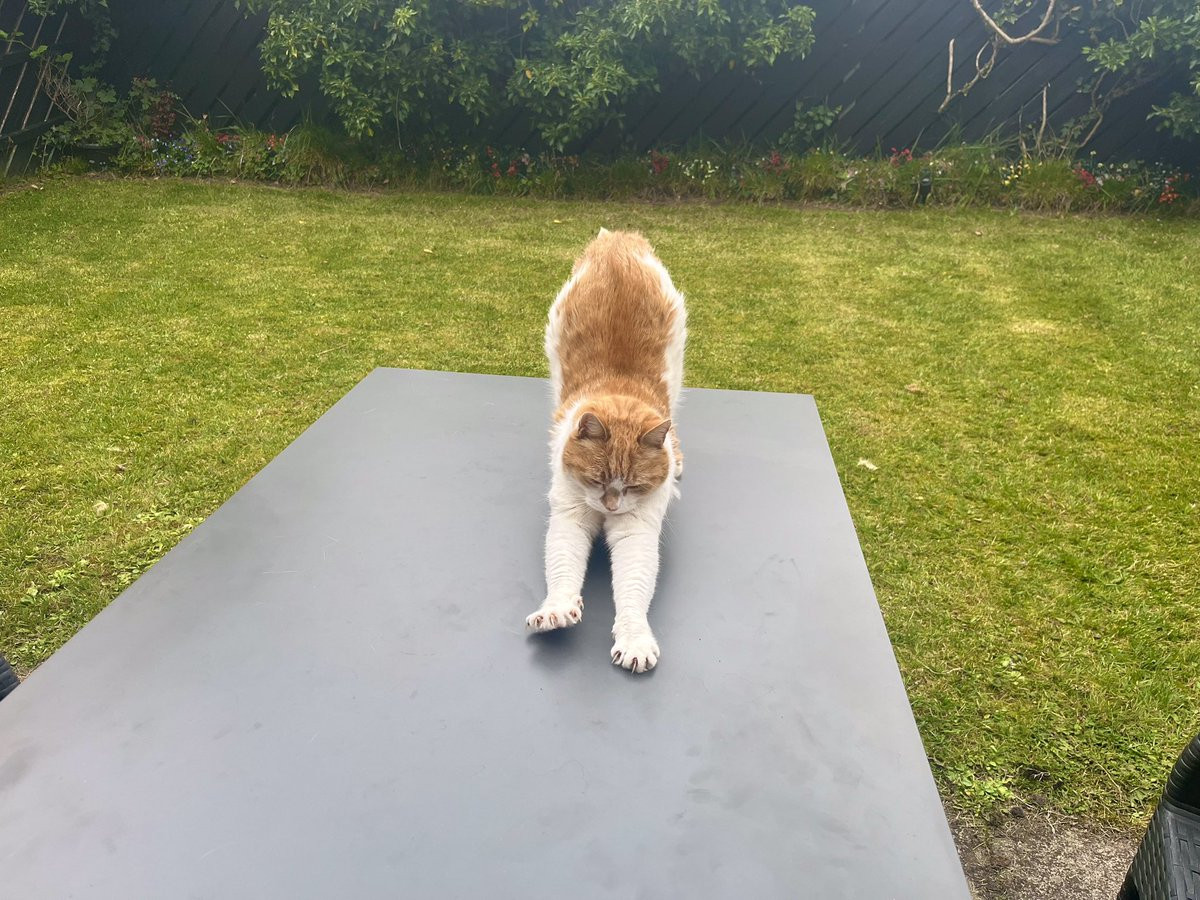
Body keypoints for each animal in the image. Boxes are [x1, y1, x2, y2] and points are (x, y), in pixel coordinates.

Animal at [525, 228, 686, 674]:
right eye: (596, 479)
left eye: (633, 486)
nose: (610, 505)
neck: (618, 389)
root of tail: (618, 238)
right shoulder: (570, 516)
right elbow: (562, 564)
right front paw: (557, 609)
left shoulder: (637, 530)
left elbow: (633, 587)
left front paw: (634, 640)